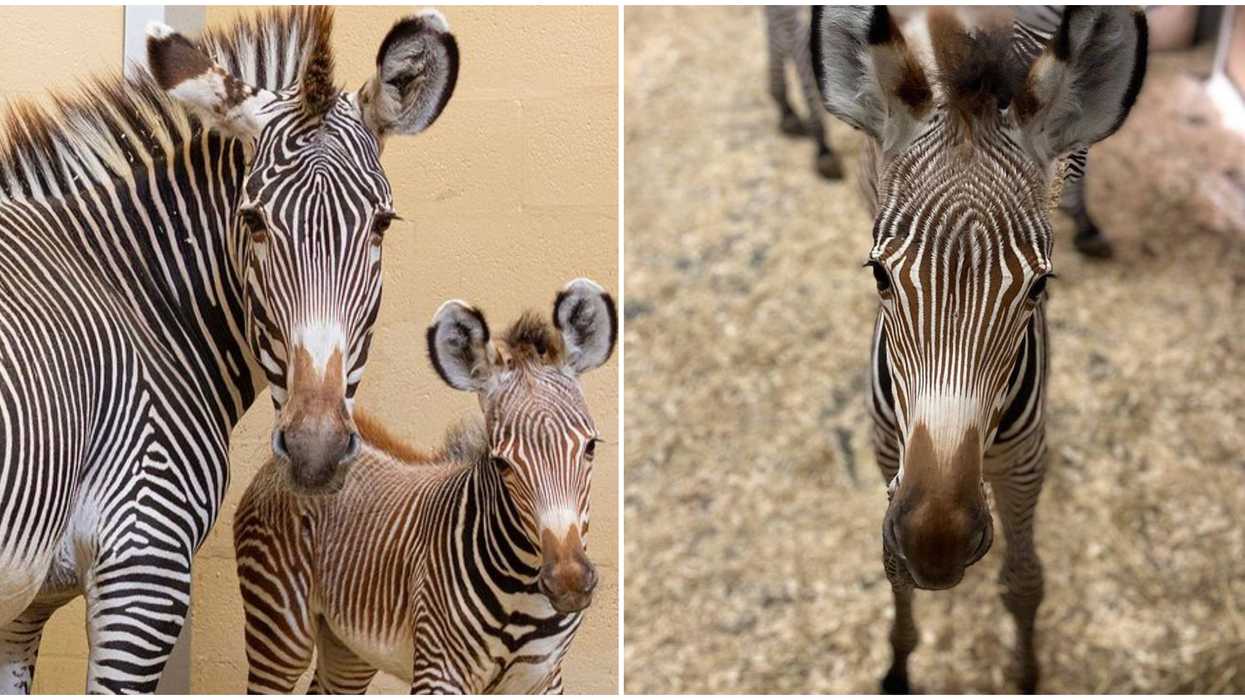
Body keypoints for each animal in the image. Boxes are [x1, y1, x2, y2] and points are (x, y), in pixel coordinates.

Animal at [0, 7, 457, 692]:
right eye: (254, 220)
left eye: (382, 225)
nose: (316, 451)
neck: (134, 294)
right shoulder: (146, 562)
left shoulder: (25, 609)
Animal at [233, 279, 617, 694]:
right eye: (501, 463)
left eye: (591, 446)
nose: (569, 581)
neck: (524, 592)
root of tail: (302, 460)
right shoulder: (440, 670)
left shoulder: (543, 677)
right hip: (279, 625)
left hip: (349, 644)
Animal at [811, 6, 1146, 693]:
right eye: (879, 276)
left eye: (1038, 286)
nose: (936, 545)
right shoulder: (888, 446)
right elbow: (894, 578)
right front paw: (897, 668)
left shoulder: (1025, 461)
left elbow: (1025, 581)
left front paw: (1027, 673)